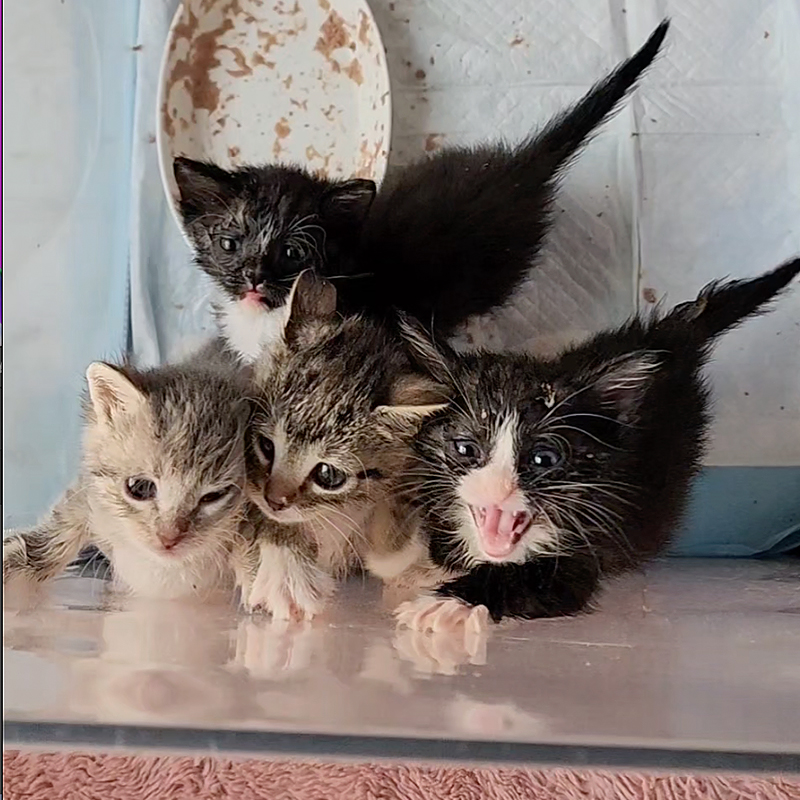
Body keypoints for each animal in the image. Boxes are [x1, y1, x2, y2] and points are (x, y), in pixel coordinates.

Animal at [394, 256, 800, 632]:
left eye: (543, 458)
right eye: (465, 449)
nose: (498, 490)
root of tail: (670, 335)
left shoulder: (586, 546)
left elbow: (533, 580)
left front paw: (446, 604)